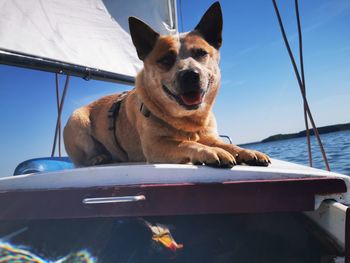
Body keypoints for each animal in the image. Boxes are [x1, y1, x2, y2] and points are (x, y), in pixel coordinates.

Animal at [63, 1, 270, 168]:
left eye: (201, 53)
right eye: (165, 59)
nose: (190, 75)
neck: (189, 122)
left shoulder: (210, 136)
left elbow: (227, 144)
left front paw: (248, 151)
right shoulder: (155, 145)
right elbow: (187, 143)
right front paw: (211, 152)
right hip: (77, 120)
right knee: (82, 158)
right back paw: (98, 158)